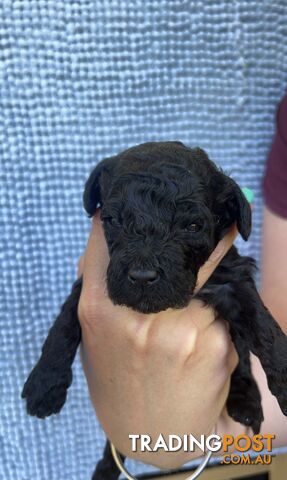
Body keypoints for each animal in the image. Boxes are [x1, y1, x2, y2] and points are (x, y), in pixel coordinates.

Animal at [22, 141, 287, 478]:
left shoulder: (233, 282)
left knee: (241, 361)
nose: (142, 276)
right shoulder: (90, 283)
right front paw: (45, 384)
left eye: (192, 226)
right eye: (113, 220)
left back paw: (247, 402)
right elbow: (63, 325)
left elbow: (267, 334)